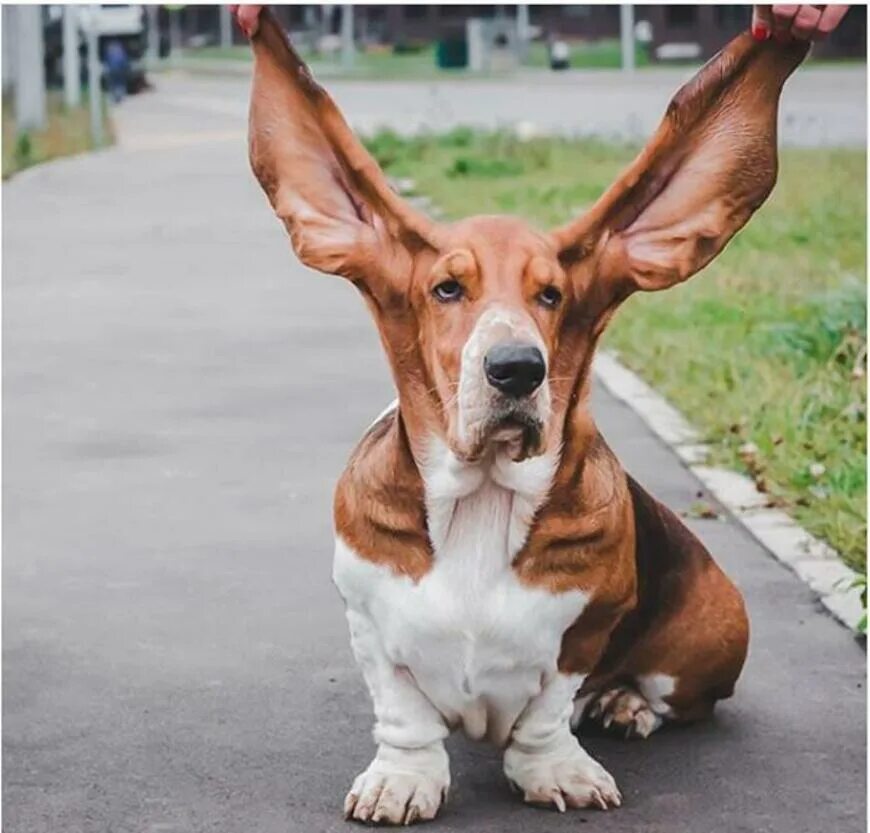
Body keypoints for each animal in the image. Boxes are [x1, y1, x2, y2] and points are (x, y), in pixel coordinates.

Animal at [240, 6, 812, 824]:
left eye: (552, 295)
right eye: (447, 288)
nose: (516, 368)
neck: (480, 499)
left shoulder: (588, 627)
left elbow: (548, 709)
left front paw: (556, 769)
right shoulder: (368, 622)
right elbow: (404, 713)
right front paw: (402, 778)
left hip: (709, 636)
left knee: (672, 698)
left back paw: (625, 705)